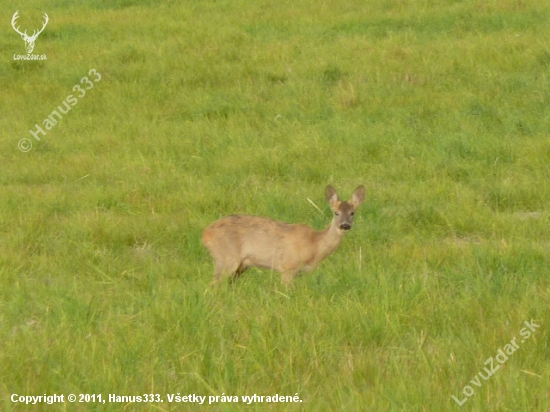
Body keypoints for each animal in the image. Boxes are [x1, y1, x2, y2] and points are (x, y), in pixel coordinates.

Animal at [203, 185, 366, 284]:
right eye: (336, 212)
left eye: (352, 213)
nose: (345, 225)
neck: (314, 244)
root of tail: (206, 234)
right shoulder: (288, 266)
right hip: (227, 257)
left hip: (239, 265)